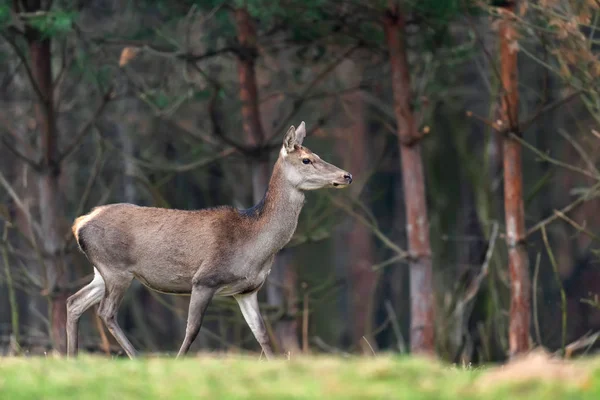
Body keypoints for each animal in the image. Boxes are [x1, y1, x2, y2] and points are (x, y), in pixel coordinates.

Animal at [67, 121, 352, 360]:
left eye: (318, 156)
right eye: (306, 160)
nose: (346, 175)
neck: (255, 245)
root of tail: (79, 223)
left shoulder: (247, 290)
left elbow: (262, 335)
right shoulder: (204, 279)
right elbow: (192, 330)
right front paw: (178, 362)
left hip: (102, 272)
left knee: (74, 302)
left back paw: (72, 359)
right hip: (116, 269)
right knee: (105, 312)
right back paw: (135, 357)